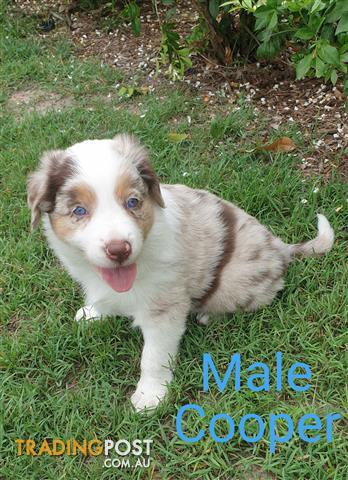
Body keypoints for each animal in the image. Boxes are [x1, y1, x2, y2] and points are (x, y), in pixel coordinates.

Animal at [27, 133, 334, 410]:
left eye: (133, 202)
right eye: (79, 210)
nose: (119, 250)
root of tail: (280, 247)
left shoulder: (164, 307)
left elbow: (153, 356)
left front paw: (150, 396)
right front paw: (92, 313)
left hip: (235, 282)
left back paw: (209, 314)